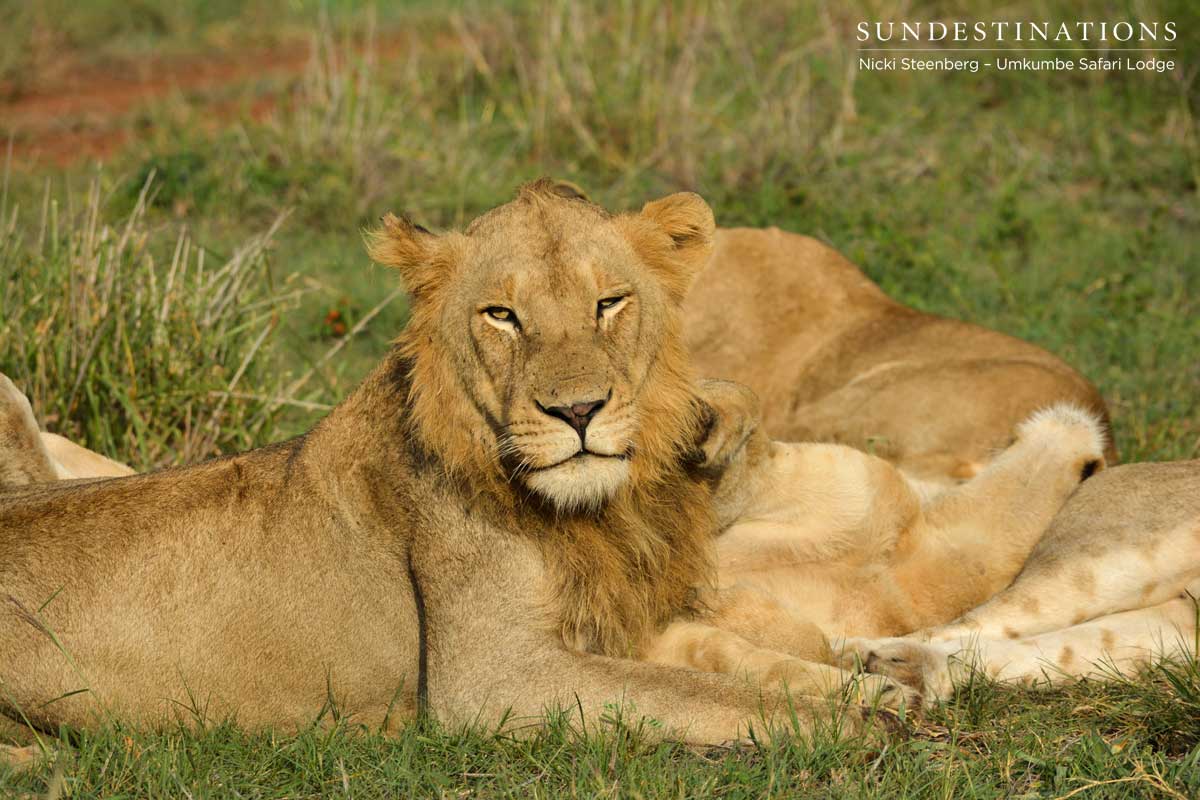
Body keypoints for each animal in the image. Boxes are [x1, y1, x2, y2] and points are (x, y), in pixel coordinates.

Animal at [1, 182, 916, 769]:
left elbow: (727, 664)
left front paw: (879, 693)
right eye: (501, 315)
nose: (578, 410)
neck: (586, 514)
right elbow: (699, 694)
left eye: (608, 303)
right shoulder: (490, 679)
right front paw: (858, 726)